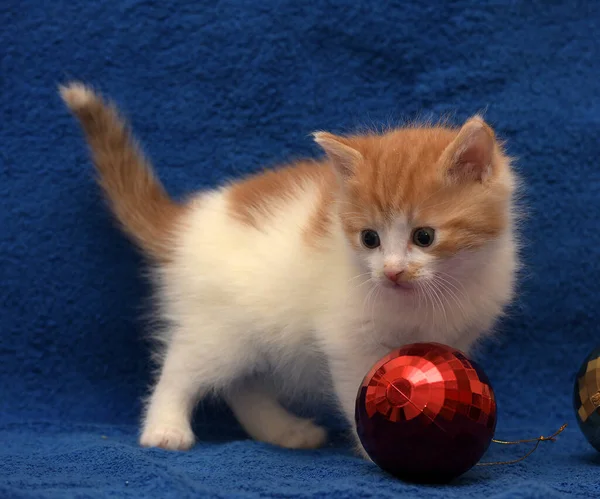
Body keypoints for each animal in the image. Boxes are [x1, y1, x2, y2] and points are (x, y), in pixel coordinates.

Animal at [62, 84, 520, 456]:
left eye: (424, 236)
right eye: (369, 239)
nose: (391, 272)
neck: (431, 296)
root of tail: (186, 222)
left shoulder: (457, 336)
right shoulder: (347, 337)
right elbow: (360, 389)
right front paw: (378, 451)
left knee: (243, 386)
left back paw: (283, 431)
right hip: (218, 329)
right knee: (180, 367)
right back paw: (164, 428)